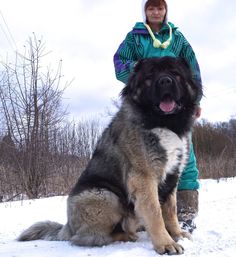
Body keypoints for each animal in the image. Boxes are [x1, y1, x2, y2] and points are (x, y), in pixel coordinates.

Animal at [18, 56, 203, 254]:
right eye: (150, 76)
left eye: (175, 73)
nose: (165, 81)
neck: (163, 122)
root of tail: (67, 227)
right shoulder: (144, 178)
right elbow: (155, 213)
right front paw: (166, 243)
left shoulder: (172, 176)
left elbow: (170, 210)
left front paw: (177, 234)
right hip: (106, 196)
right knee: (89, 237)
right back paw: (127, 235)